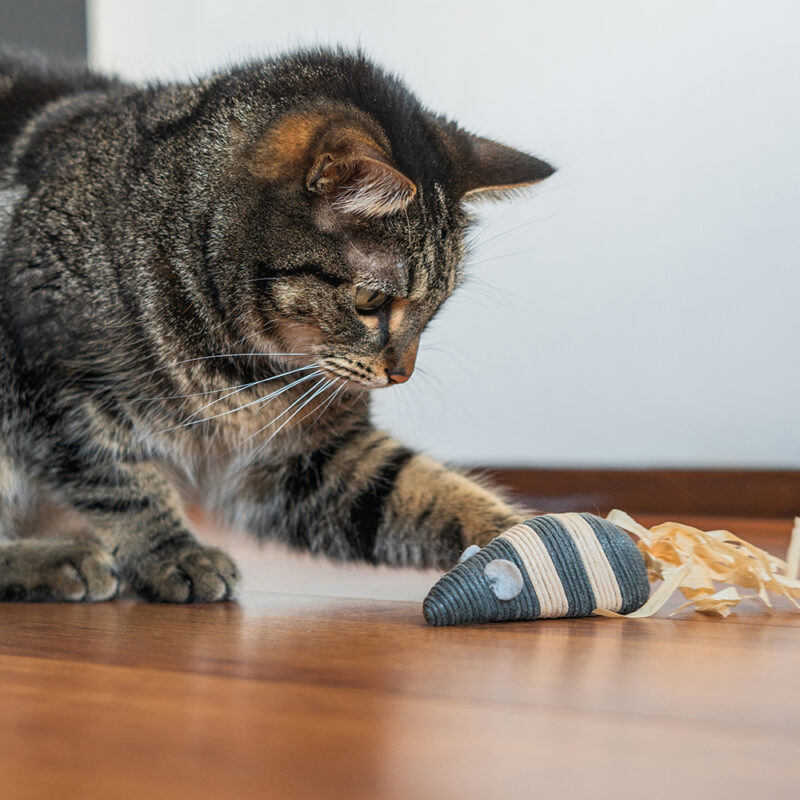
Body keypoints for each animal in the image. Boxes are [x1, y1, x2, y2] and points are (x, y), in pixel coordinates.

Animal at [0, 47, 552, 604]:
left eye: (436, 306)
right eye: (371, 299)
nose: (402, 374)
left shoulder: (305, 458)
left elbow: (422, 491)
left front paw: (531, 537)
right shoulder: (55, 386)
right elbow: (121, 482)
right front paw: (173, 553)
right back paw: (61, 558)